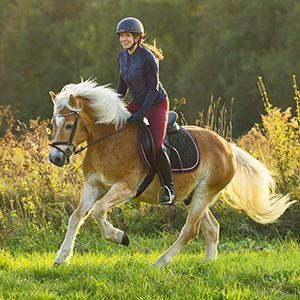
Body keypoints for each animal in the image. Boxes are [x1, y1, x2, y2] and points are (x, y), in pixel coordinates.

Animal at [48, 79, 294, 268]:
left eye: (69, 125)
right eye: (53, 123)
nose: (55, 158)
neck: (109, 141)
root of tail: (228, 147)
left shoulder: (125, 188)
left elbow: (98, 211)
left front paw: (120, 237)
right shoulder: (93, 186)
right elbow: (76, 217)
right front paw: (61, 258)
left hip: (204, 193)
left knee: (190, 231)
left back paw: (160, 262)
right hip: (194, 196)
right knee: (212, 228)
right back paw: (208, 263)